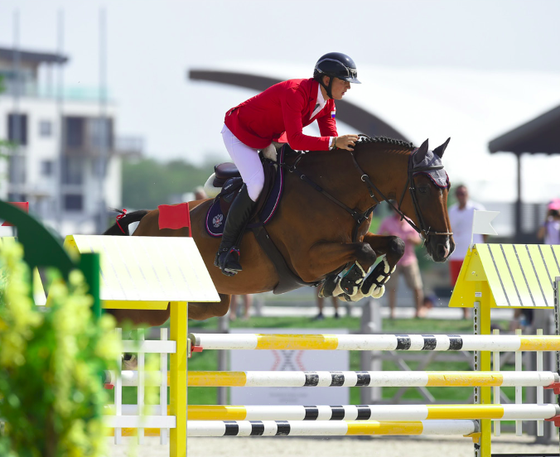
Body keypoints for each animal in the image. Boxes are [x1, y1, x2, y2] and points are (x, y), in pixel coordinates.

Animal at [104, 137, 456, 326]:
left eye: (448, 187)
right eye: (424, 188)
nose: (444, 249)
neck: (331, 191)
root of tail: (146, 220)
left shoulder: (351, 239)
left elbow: (392, 244)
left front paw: (368, 283)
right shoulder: (307, 261)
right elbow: (365, 252)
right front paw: (351, 284)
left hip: (211, 299)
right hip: (150, 300)